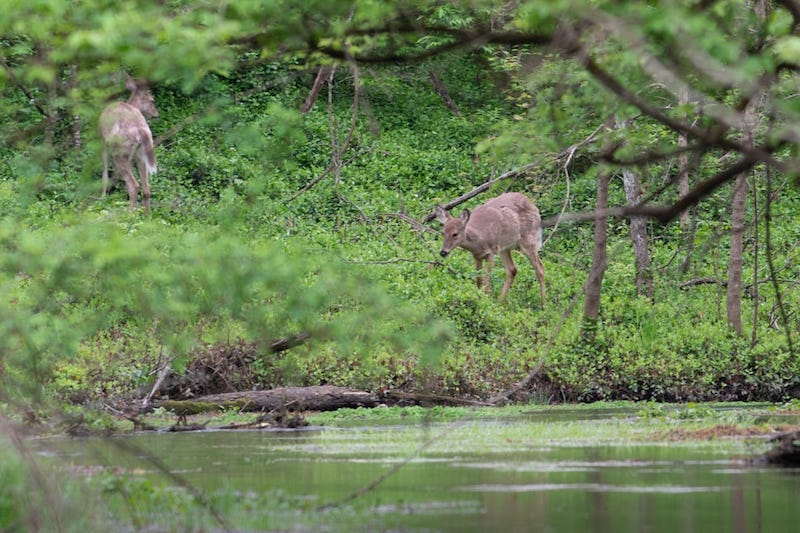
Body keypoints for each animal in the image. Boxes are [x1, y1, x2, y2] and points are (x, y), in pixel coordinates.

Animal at [98, 74, 158, 210]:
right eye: (152, 100)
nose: (156, 114)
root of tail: (141, 131)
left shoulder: (103, 143)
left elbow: (104, 172)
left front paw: (102, 198)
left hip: (119, 152)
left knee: (134, 185)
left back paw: (129, 213)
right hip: (141, 154)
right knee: (146, 189)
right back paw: (147, 215)